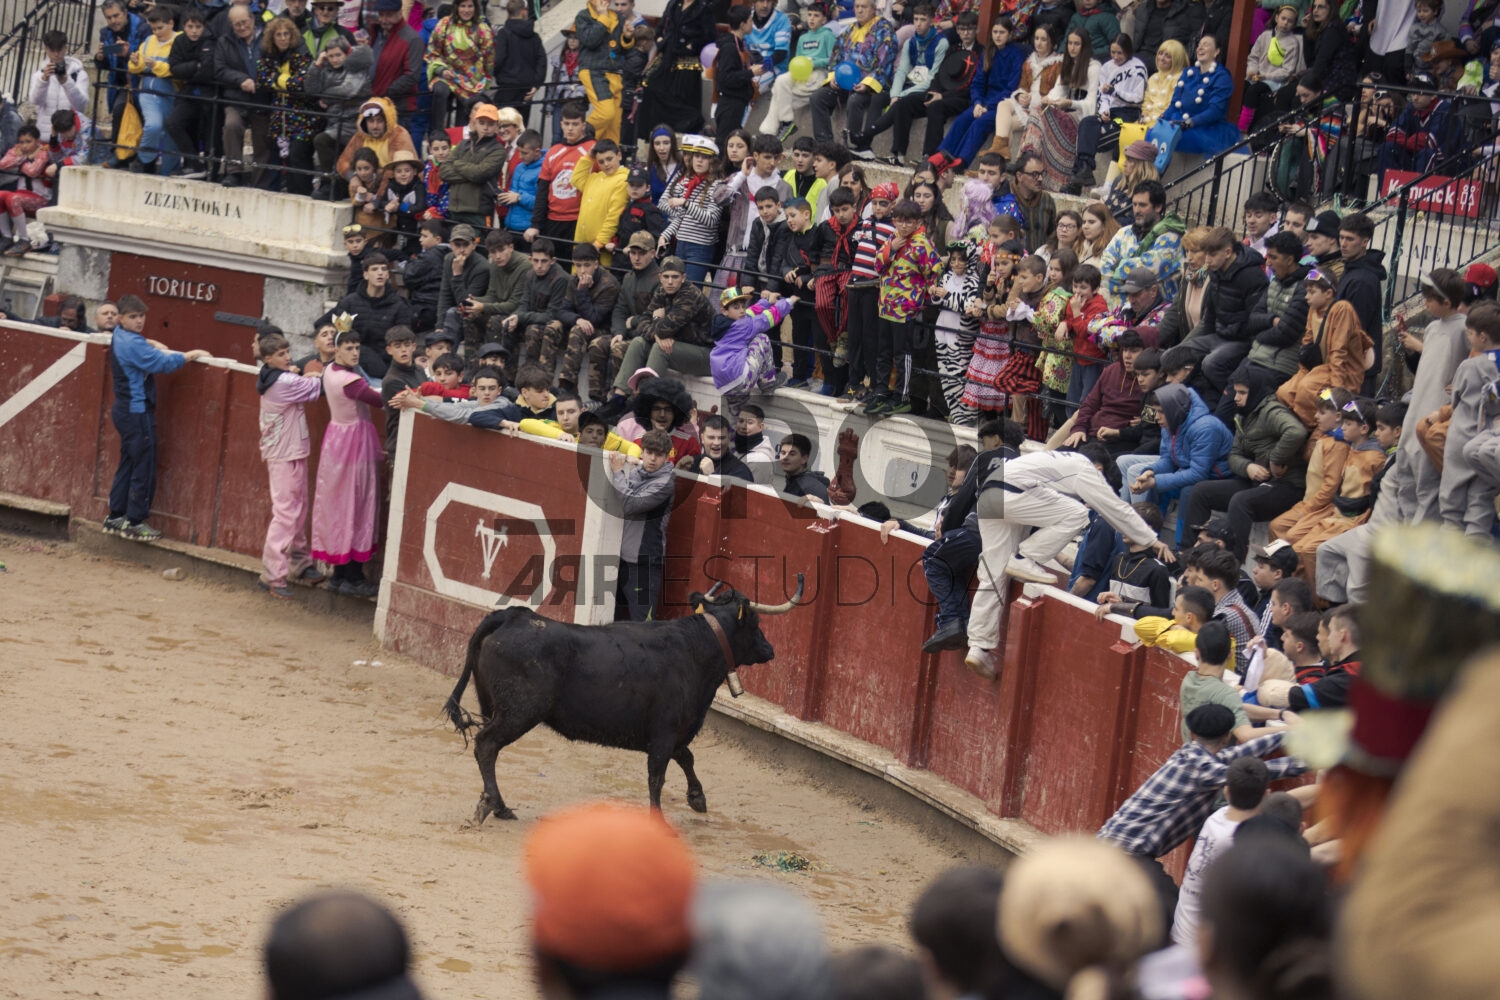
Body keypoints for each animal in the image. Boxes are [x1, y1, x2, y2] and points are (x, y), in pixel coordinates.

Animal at [444, 575, 805, 822]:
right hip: (518, 712)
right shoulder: (665, 732)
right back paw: (496, 806)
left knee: (488, 751)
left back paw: (494, 804)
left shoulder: (674, 732)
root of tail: (510, 616)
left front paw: (697, 798)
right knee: (486, 745)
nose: (770, 649)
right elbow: (657, 776)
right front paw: (659, 820)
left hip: (494, 707)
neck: (695, 646)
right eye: (756, 621)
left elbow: (686, 757)